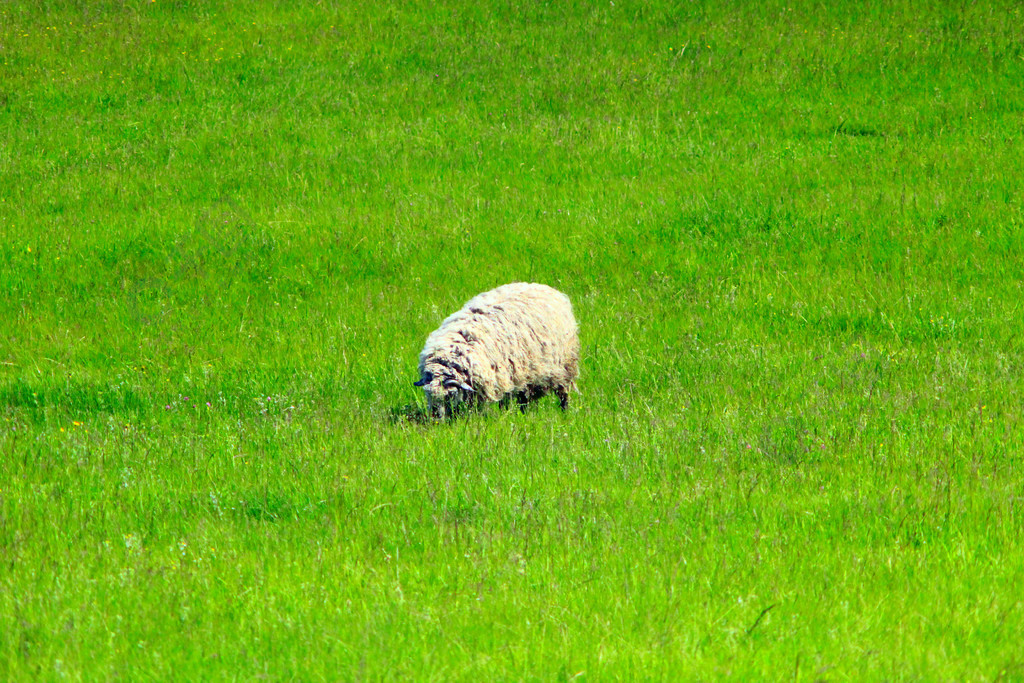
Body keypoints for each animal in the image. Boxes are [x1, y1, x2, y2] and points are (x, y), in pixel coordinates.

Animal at [411, 282, 581, 417]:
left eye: (449, 395)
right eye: (427, 394)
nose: (435, 417)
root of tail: (542, 286)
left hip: (566, 365)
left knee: (563, 393)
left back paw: (564, 412)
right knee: (526, 397)